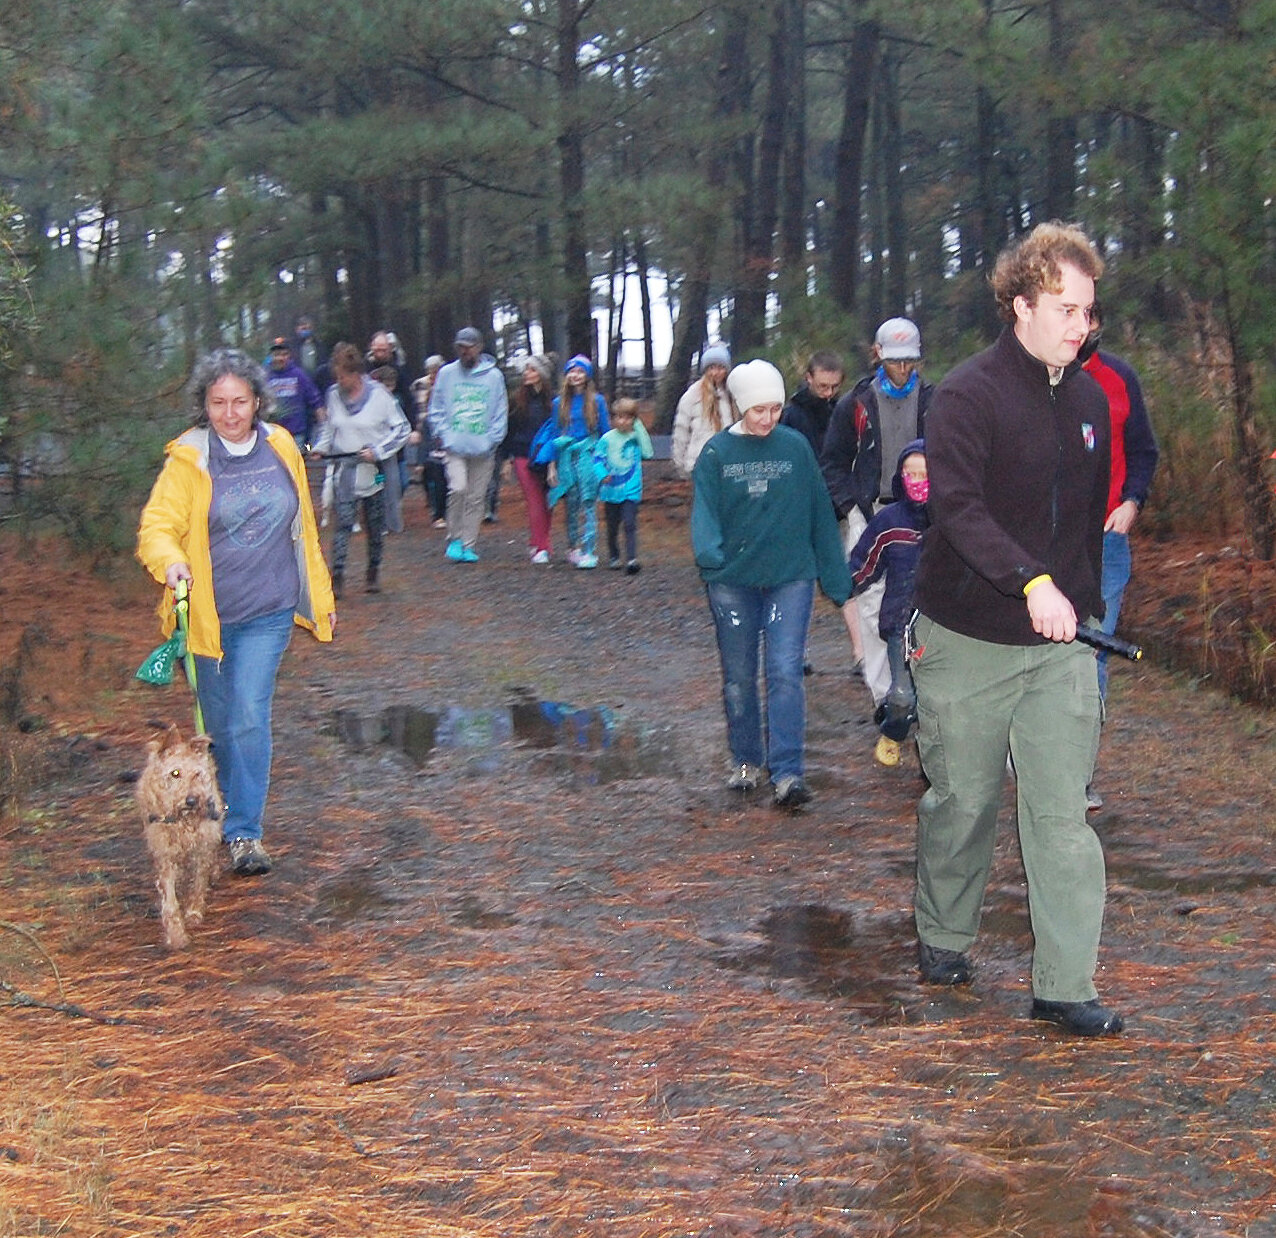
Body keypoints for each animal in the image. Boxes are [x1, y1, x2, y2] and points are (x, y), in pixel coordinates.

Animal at [137, 724, 224, 944]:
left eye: (197, 774)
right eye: (175, 773)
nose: (192, 800)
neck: (183, 821)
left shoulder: (203, 846)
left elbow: (199, 881)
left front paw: (194, 912)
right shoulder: (164, 854)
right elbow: (169, 898)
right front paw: (176, 935)